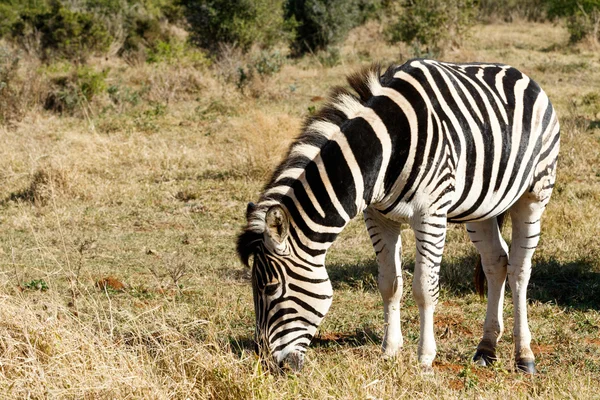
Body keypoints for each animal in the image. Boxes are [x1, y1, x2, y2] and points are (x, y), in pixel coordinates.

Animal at [234, 57, 556, 374]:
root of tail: (517, 71)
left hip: (534, 194)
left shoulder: (430, 214)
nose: (266, 364)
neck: (384, 150)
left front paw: (425, 360)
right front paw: (389, 351)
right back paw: (486, 349)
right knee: (495, 262)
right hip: (481, 207)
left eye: (270, 288)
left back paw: (524, 356)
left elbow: (424, 288)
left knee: (519, 269)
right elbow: (389, 284)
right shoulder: (378, 217)